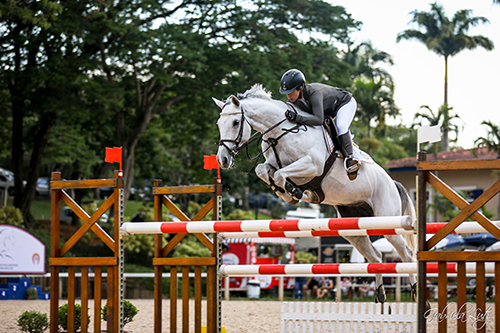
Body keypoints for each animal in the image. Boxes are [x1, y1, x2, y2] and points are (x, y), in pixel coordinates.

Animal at [214, 83, 418, 304]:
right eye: (219, 123)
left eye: (235, 122)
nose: (223, 160)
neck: (280, 133)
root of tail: (392, 182)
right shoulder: (272, 164)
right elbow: (264, 170)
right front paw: (289, 192)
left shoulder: (312, 165)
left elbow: (279, 174)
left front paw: (294, 193)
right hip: (353, 228)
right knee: (375, 257)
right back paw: (380, 293)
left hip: (388, 220)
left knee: (407, 253)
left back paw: (415, 291)